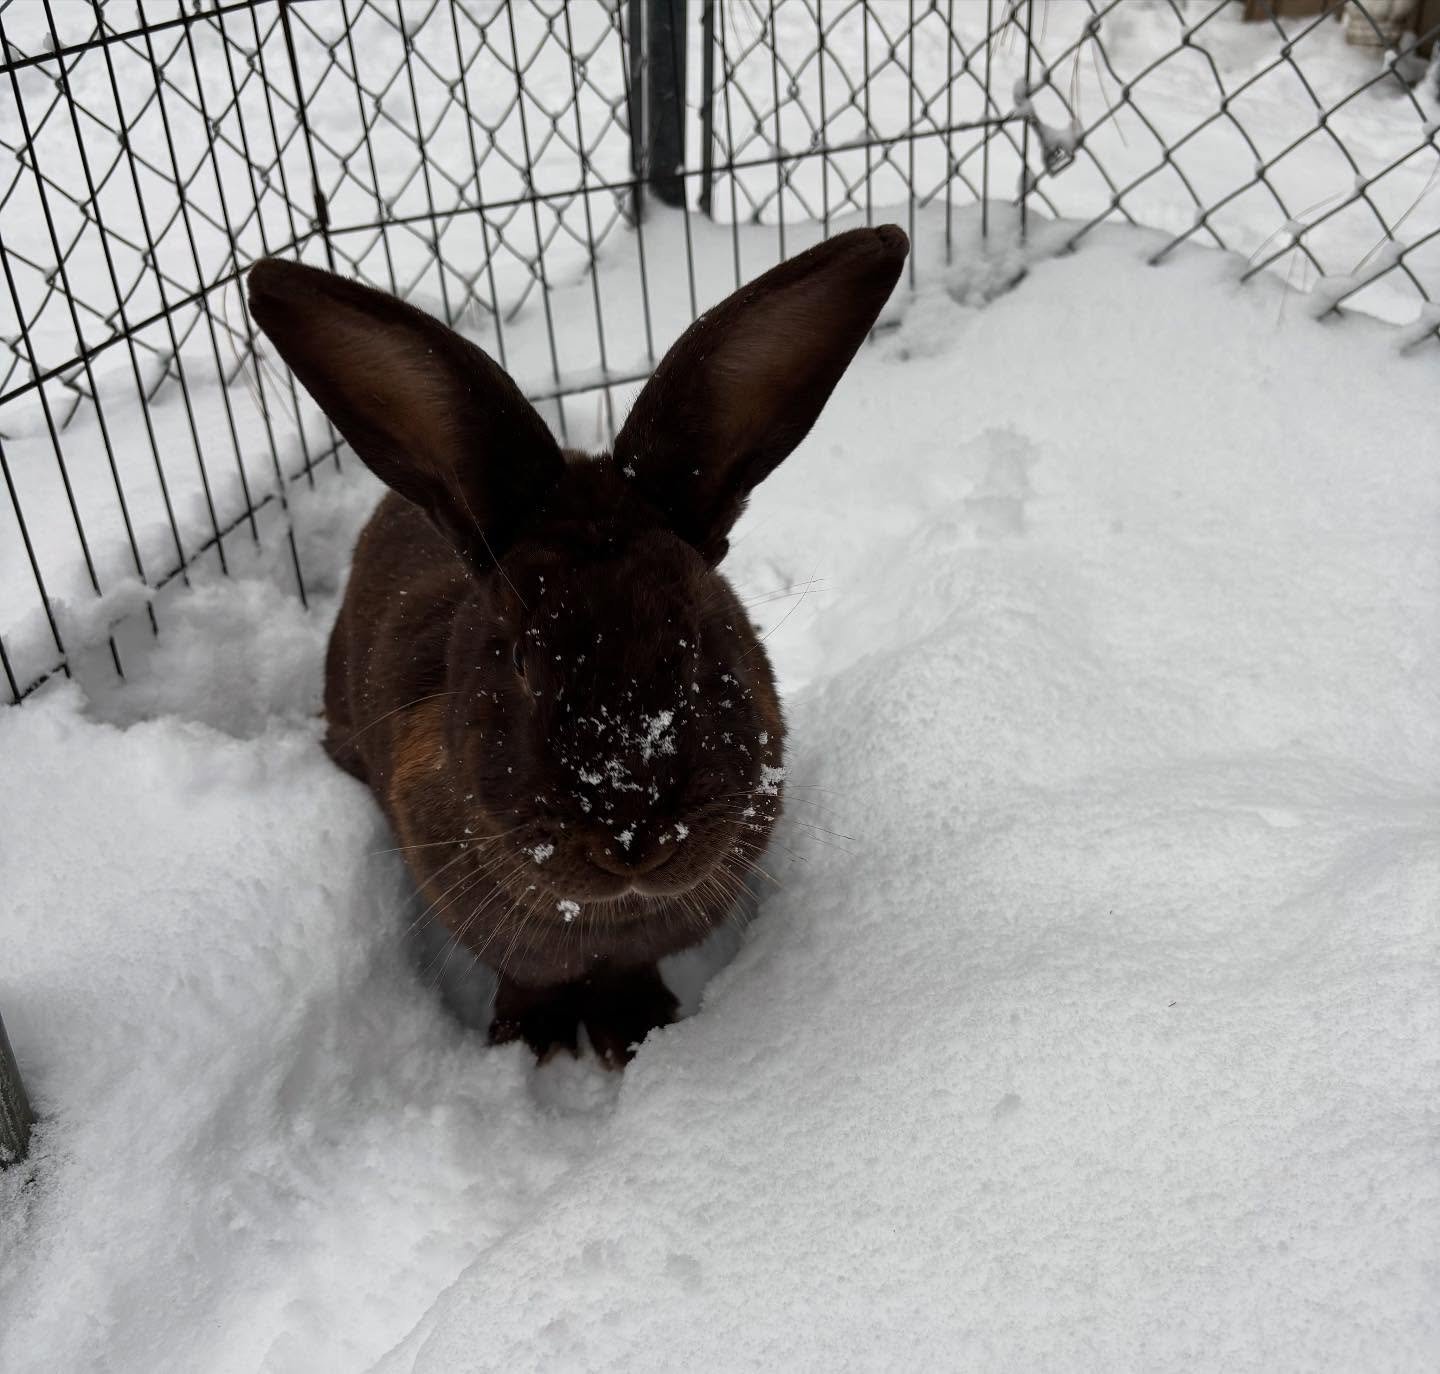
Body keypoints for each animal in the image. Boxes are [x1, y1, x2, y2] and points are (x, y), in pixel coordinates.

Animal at [247, 224, 908, 1064]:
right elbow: (529, 978)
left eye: (699, 638)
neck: (604, 916)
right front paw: (525, 1044)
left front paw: (638, 1035)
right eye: (520, 658)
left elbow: (627, 975)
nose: (631, 836)